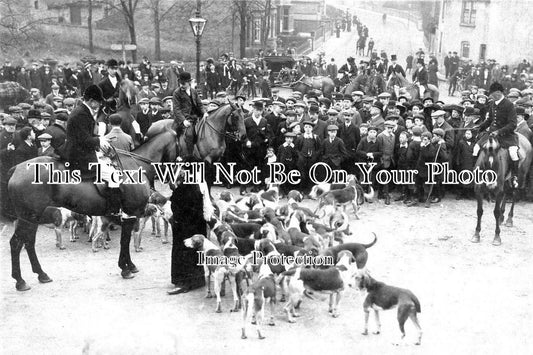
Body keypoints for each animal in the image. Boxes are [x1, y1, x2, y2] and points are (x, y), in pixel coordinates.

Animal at [6, 129, 179, 292]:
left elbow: (126, 240)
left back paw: (41, 274)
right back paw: (20, 281)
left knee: (28, 243)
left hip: (32, 218)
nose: (175, 183)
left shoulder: (129, 216)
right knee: (16, 243)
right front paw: (125, 269)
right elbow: (125, 241)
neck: (136, 166)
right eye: (179, 145)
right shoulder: (130, 214)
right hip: (28, 218)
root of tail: (16, 168)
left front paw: (129, 265)